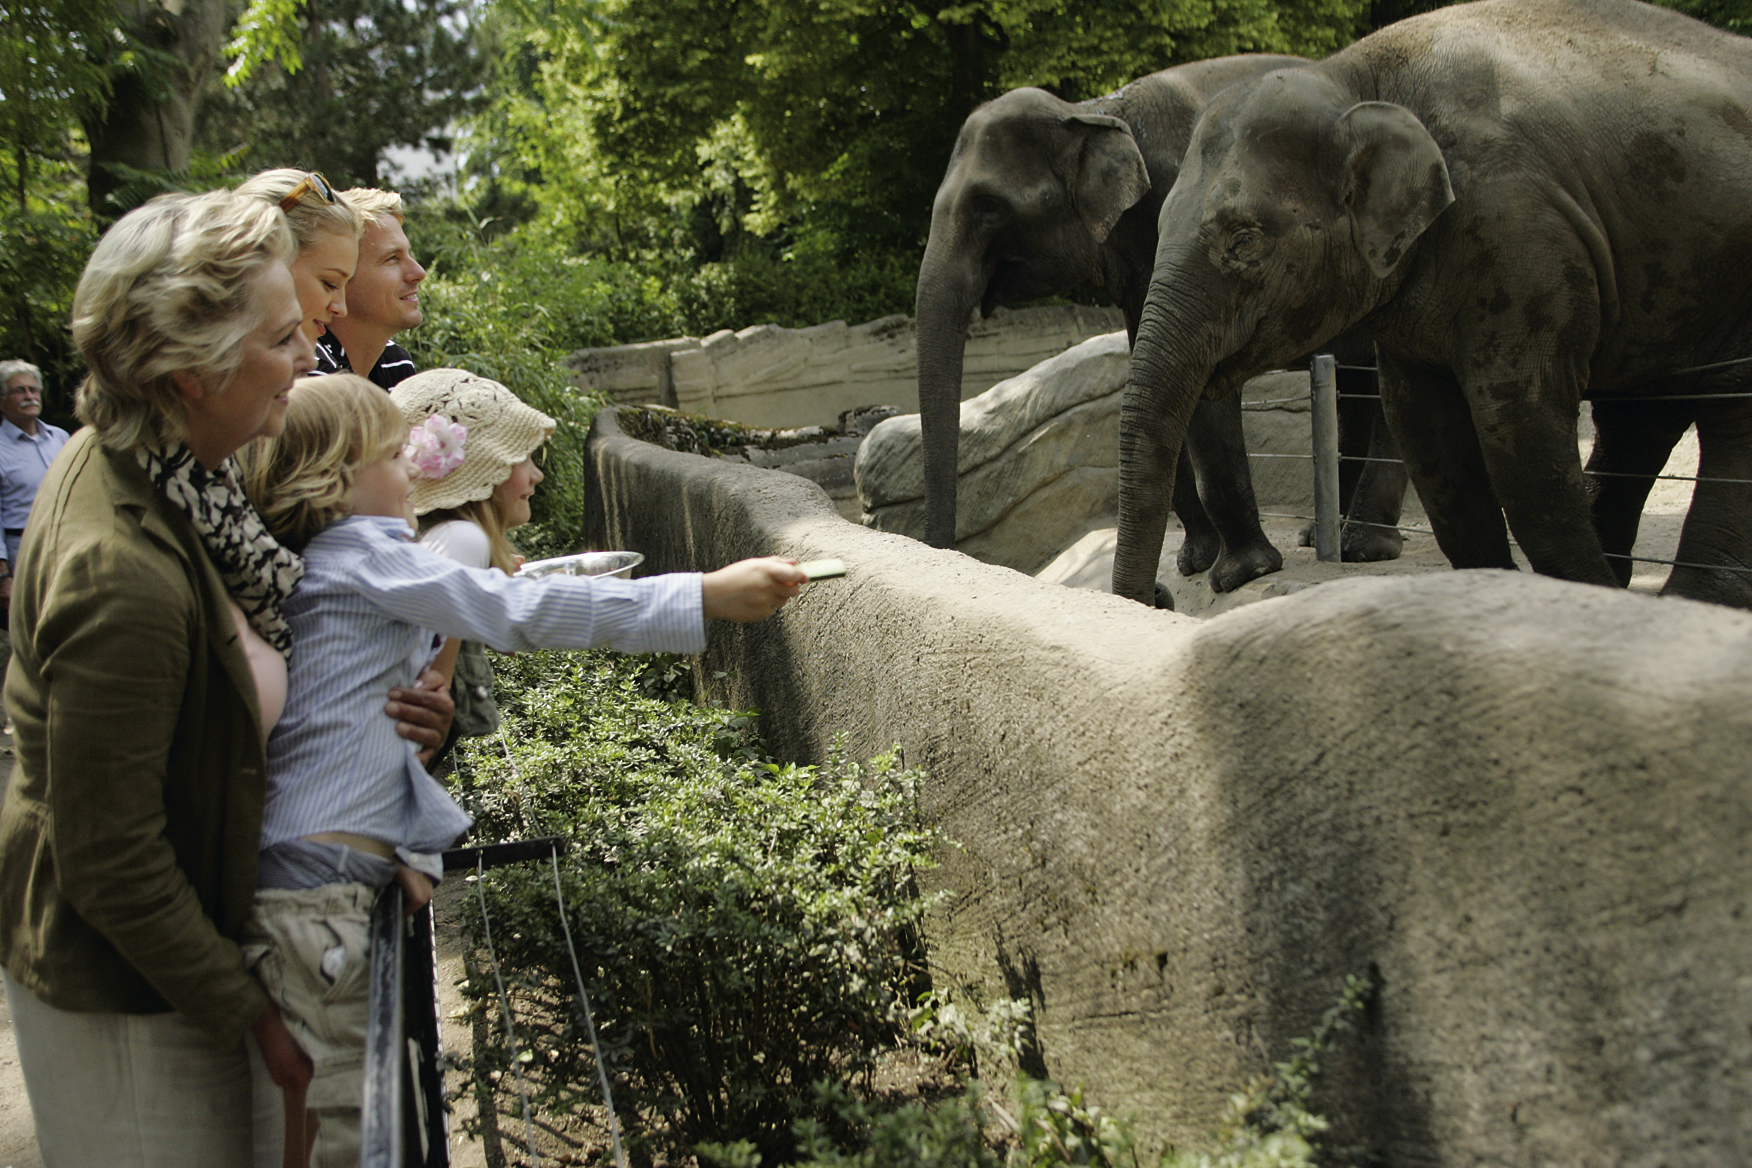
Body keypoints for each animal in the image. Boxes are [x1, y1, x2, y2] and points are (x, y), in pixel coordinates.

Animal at [918, 54, 1408, 602]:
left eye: (988, 206)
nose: (1158, 594)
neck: (1093, 111)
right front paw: (1195, 561)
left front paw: (1243, 573)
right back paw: (1321, 535)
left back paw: (1364, 546)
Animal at [1114, 0, 1744, 616]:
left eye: (1244, 240)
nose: (1163, 593)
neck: (1355, 78)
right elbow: (1428, 432)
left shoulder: (1519, 235)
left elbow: (1519, 428)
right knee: (1643, 416)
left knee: (1726, 413)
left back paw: (1694, 604)